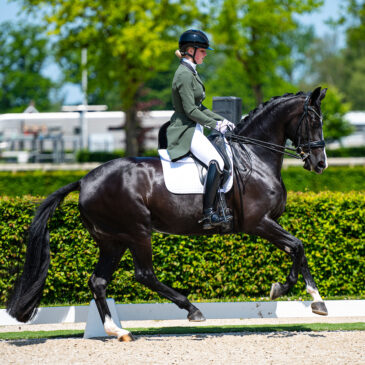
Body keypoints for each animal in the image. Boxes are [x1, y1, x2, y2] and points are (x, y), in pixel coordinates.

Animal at [7, 86, 328, 340]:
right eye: (313, 120)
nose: (321, 164)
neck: (254, 157)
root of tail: (84, 180)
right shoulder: (258, 222)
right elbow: (298, 246)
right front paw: (283, 290)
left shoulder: (269, 223)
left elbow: (298, 250)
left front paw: (317, 300)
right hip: (137, 232)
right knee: (144, 274)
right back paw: (192, 309)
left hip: (113, 240)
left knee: (98, 281)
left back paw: (117, 331)